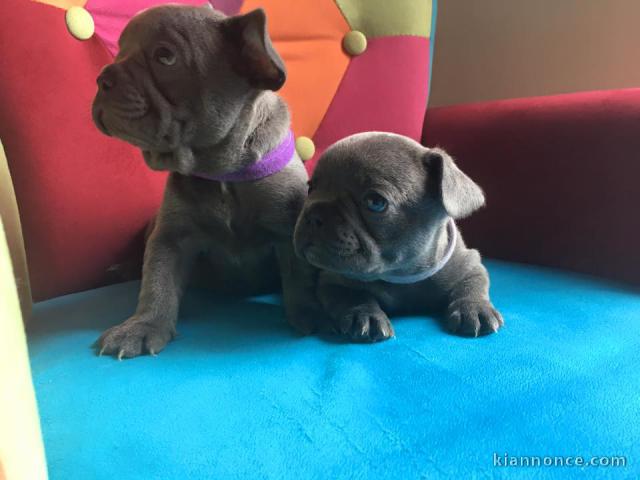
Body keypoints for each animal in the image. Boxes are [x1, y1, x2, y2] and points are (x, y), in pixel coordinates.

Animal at [91, 3, 318, 356]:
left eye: (165, 56)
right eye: (120, 50)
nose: (102, 78)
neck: (221, 172)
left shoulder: (286, 230)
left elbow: (299, 276)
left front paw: (310, 314)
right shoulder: (170, 236)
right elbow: (157, 281)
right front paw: (144, 326)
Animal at [292, 131, 504, 342]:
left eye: (375, 202)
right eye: (310, 188)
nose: (314, 215)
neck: (400, 273)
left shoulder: (469, 264)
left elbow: (472, 284)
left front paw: (474, 308)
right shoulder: (332, 280)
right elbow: (354, 296)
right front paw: (365, 315)